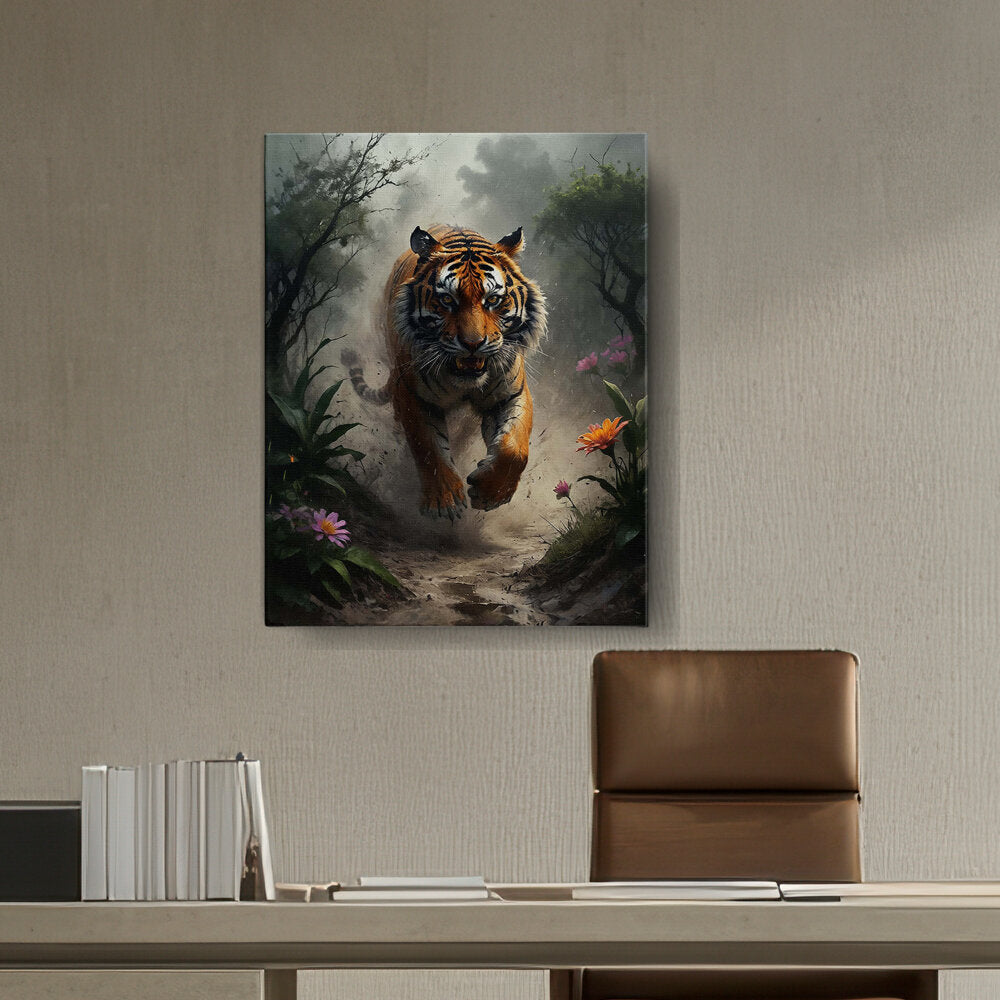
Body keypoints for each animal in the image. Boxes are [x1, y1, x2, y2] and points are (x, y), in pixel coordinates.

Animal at [342, 224, 547, 520]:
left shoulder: (510, 395)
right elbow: (427, 446)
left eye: (493, 300)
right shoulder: (413, 396)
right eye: (447, 299)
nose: (473, 344)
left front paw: (490, 493)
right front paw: (444, 500)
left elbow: (515, 449)